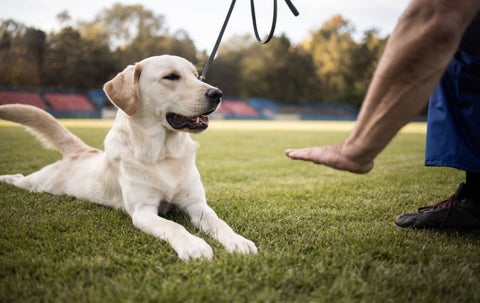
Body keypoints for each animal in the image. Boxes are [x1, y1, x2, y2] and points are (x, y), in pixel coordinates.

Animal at [0, 54, 258, 262]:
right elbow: (174, 226)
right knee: (20, 178)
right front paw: (193, 245)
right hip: (40, 184)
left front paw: (238, 240)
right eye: (171, 76)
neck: (162, 154)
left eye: (196, 76)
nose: (217, 93)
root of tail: (81, 151)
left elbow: (219, 222)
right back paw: (6, 178)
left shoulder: (196, 204)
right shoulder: (143, 211)